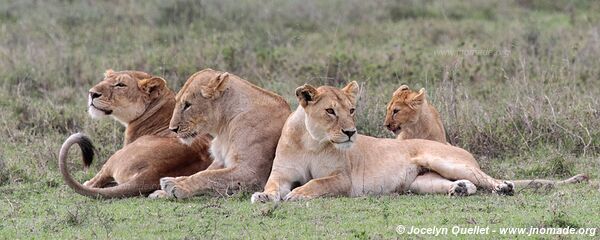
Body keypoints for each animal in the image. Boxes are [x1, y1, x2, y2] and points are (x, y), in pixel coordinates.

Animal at [58, 70, 213, 199]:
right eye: (105, 80)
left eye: (120, 85)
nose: (92, 93)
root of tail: (152, 172)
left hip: (115, 157)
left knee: (96, 180)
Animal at [149, 68, 292, 199]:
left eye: (188, 105)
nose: (173, 129)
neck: (224, 127)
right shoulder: (220, 160)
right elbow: (199, 173)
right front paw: (166, 187)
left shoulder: (251, 171)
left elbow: (206, 175)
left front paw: (178, 187)